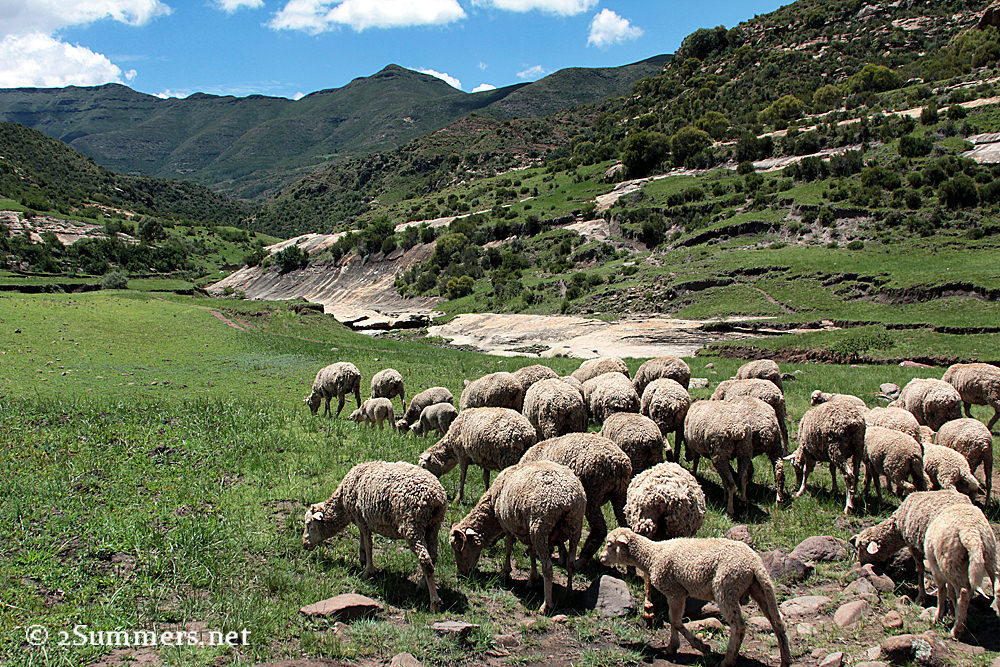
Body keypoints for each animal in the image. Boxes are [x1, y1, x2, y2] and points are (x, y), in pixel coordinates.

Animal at [302, 461, 447, 611]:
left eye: (308, 524)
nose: (304, 544)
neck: (342, 504)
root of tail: (435, 497)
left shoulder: (361, 518)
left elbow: (368, 545)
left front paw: (368, 571)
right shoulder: (361, 519)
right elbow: (362, 541)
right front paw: (362, 560)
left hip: (412, 525)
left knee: (425, 560)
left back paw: (434, 603)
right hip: (433, 525)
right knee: (433, 556)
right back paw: (421, 585)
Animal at [450, 460, 586, 614]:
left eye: (459, 549)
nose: (462, 573)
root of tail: (568, 498)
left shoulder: (507, 525)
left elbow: (508, 548)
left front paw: (505, 572)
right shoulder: (528, 532)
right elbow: (532, 554)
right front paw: (532, 579)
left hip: (540, 527)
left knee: (548, 568)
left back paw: (546, 605)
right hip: (575, 526)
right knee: (570, 563)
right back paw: (568, 592)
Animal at [519, 433, 632, 565]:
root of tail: (617, 463)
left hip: (592, 495)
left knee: (600, 529)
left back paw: (581, 560)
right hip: (620, 494)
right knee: (625, 524)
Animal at [599, 528, 792, 667]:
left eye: (609, 544)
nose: (601, 558)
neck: (652, 556)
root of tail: (754, 563)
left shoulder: (675, 591)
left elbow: (675, 621)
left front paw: (702, 647)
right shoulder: (675, 593)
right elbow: (673, 620)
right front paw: (672, 647)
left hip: (726, 587)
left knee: (738, 626)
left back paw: (728, 660)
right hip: (758, 589)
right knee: (777, 622)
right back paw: (785, 660)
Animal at [924, 503, 1000, 637]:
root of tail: (972, 532)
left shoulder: (936, 568)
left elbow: (943, 591)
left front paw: (938, 618)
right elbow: (951, 593)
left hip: (948, 561)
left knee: (963, 592)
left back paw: (956, 630)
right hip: (990, 555)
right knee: (996, 588)